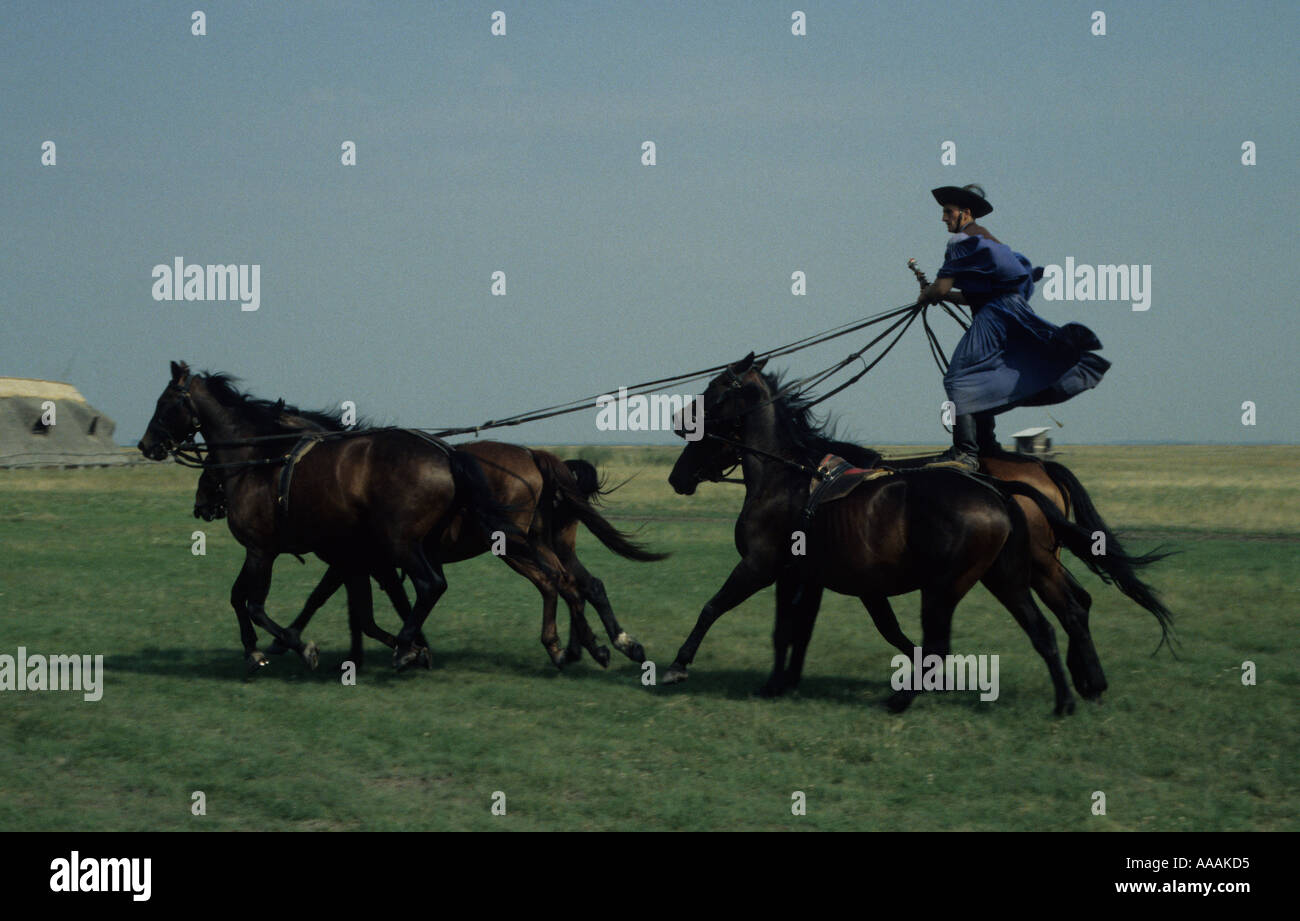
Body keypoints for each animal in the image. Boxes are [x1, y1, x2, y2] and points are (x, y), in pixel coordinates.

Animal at [146, 364, 538, 671]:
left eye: (164, 403)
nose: (146, 445)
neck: (263, 459)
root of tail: (445, 454)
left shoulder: (264, 551)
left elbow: (256, 604)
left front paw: (297, 646)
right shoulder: (343, 562)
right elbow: (242, 597)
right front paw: (256, 649)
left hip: (402, 543)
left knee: (432, 585)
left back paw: (404, 647)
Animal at [665, 356, 1175, 718]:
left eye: (714, 391)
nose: (678, 472)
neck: (790, 477)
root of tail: (1005, 486)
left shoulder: (761, 567)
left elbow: (716, 608)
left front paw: (679, 666)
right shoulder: (808, 578)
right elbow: (798, 630)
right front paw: (781, 682)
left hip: (958, 584)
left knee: (975, 635)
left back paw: (906, 698)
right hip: (1007, 576)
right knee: (1052, 621)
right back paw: (1072, 695)